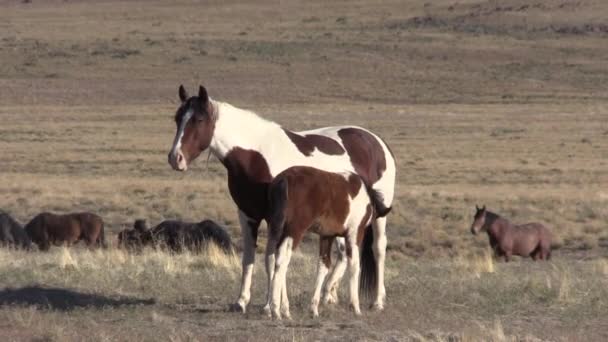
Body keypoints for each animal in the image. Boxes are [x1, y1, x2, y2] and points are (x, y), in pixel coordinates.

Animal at [266, 164, 390, 320]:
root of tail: (284, 179)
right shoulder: (354, 233)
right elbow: (354, 266)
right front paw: (355, 307)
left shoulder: (327, 236)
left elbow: (323, 266)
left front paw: (314, 309)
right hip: (294, 231)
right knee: (282, 261)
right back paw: (277, 309)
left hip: (276, 229)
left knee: (273, 259)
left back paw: (282, 309)